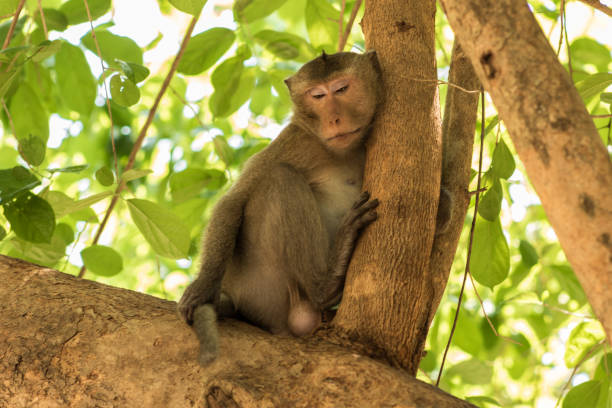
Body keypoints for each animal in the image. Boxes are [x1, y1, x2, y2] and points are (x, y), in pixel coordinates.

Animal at [175, 49, 382, 364]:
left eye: (342, 89)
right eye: (317, 95)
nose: (334, 119)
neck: (341, 151)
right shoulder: (295, 141)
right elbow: (234, 202)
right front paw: (202, 287)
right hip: (262, 285)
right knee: (280, 177)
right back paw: (325, 284)